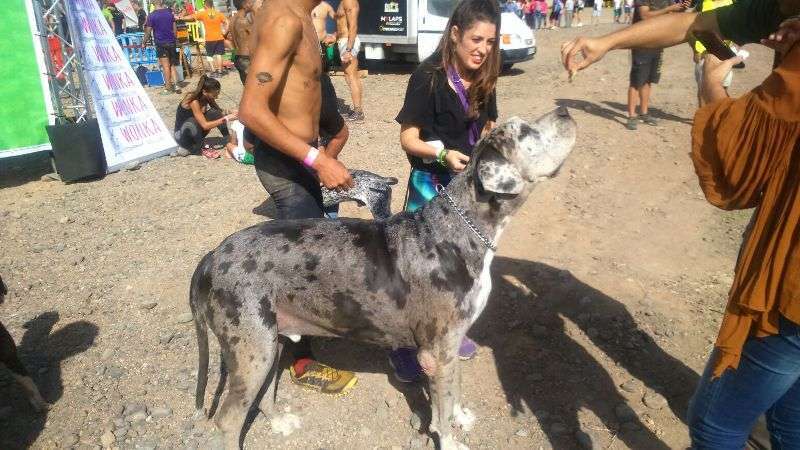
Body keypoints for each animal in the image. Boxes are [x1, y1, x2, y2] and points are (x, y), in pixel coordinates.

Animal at [190, 108, 577, 449]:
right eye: (524, 132)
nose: (566, 112)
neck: (459, 229)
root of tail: (212, 254)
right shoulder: (436, 353)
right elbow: (440, 413)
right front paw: (451, 439)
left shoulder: (452, 346)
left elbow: (455, 390)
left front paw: (461, 415)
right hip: (251, 350)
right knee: (227, 420)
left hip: (272, 342)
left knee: (264, 394)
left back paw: (280, 422)